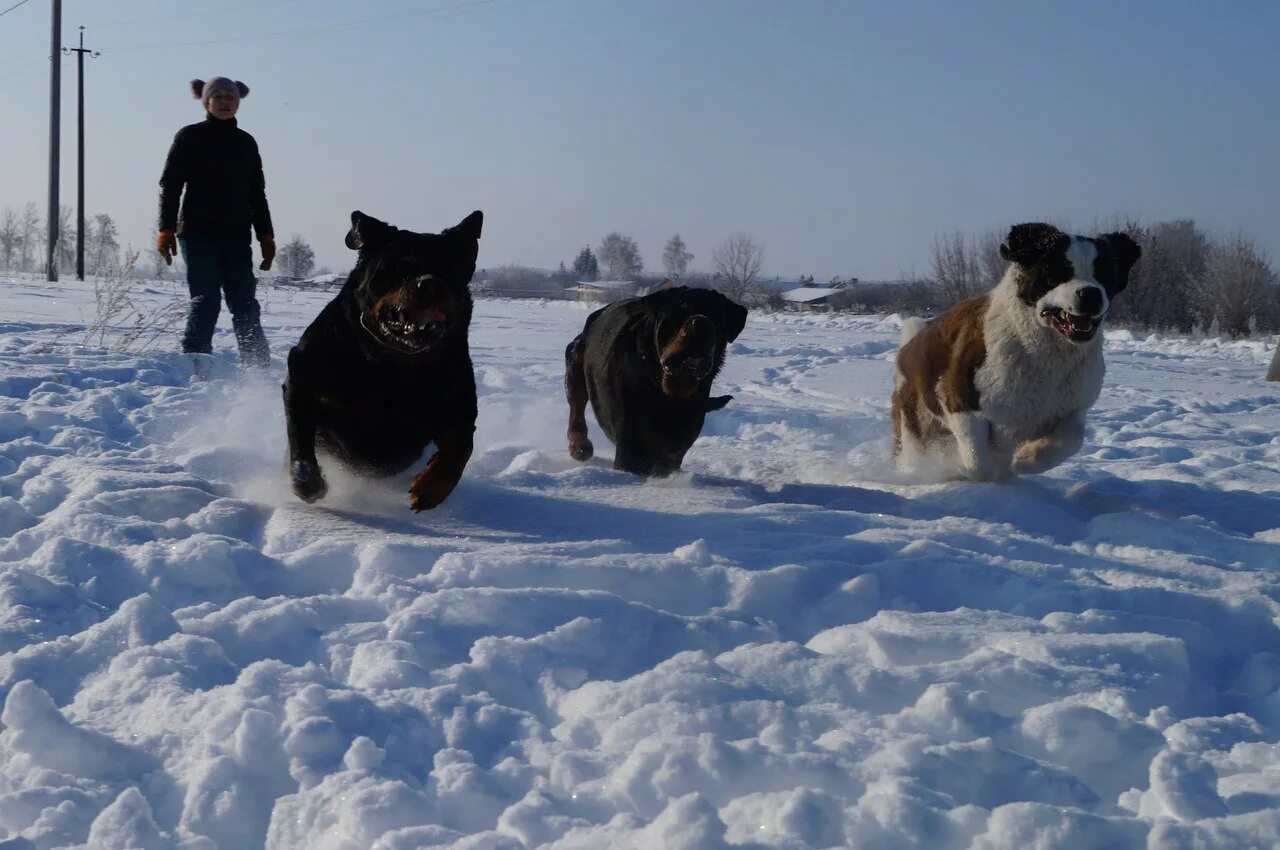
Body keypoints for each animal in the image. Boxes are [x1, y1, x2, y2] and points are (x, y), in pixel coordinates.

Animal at [282, 209, 481, 512]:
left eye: (449, 271)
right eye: (400, 268)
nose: (431, 283)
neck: (390, 367)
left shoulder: (458, 403)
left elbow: (461, 446)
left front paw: (430, 488)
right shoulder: (302, 379)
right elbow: (300, 438)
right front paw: (308, 483)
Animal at [565, 284, 747, 471]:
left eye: (717, 319)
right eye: (679, 312)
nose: (701, 321)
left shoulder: (673, 451)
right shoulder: (630, 444)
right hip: (576, 357)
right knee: (577, 404)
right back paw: (579, 445)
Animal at [890, 222, 1141, 481]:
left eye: (1105, 275)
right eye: (1058, 272)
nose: (1090, 293)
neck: (1045, 353)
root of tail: (910, 344)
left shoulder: (1071, 408)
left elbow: (1073, 438)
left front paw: (1027, 459)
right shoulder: (963, 404)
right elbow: (979, 466)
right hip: (915, 426)